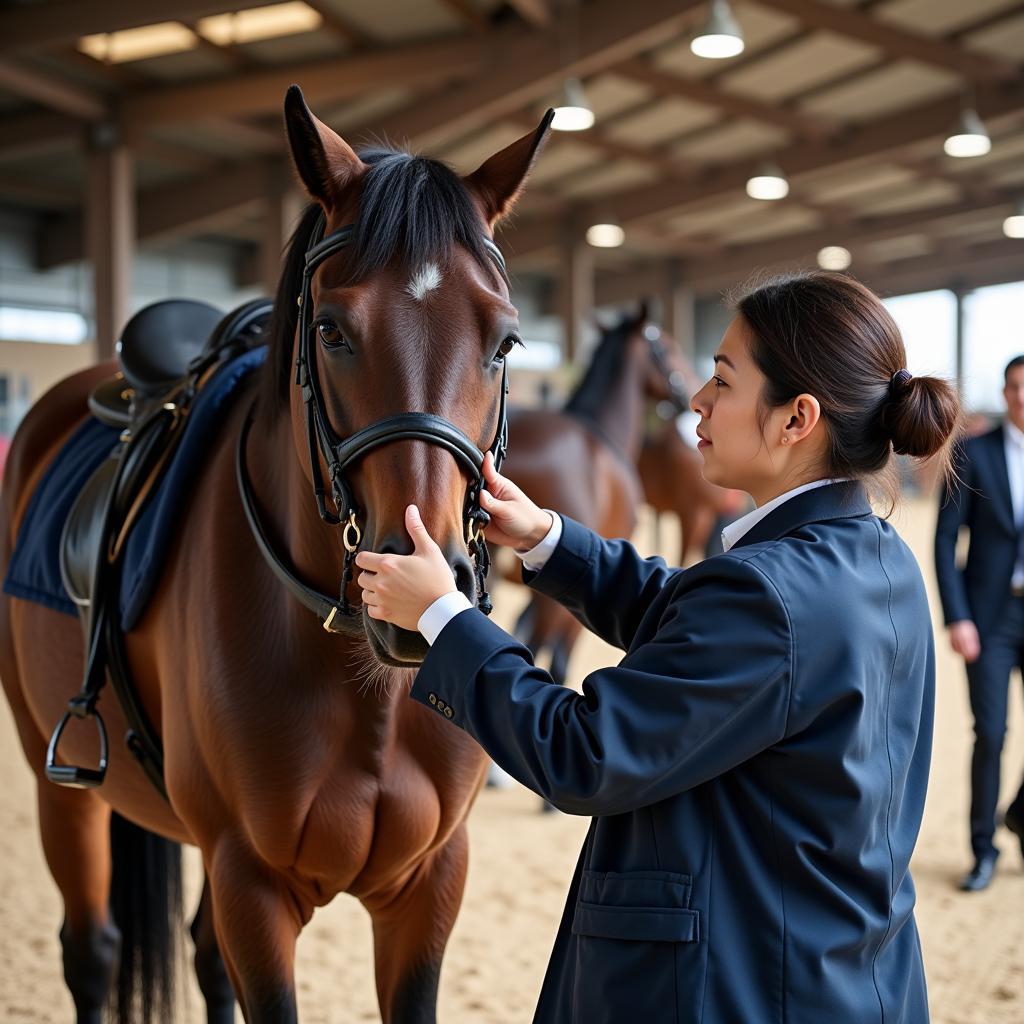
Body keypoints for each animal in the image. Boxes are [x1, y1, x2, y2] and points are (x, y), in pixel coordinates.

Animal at [0, 88, 552, 1024]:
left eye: (506, 342)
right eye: (330, 331)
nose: (422, 584)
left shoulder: (430, 884)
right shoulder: (251, 885)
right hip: (60, 783)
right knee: (93, 952)